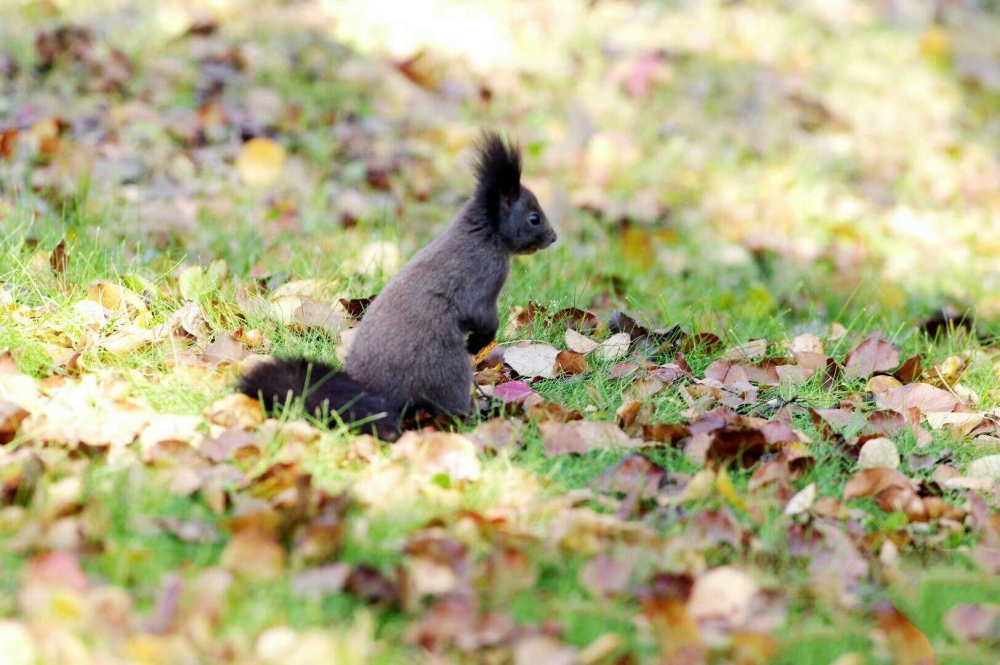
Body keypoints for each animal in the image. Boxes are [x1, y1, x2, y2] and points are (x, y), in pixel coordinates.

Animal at [239, 132, 560, 438]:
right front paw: (479, 342)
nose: (553, 237)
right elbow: (483, 317)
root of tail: (375, 395)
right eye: (534, 218)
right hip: (450, 371)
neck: (484, 235)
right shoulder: (485, 276)